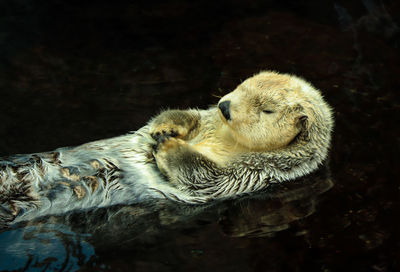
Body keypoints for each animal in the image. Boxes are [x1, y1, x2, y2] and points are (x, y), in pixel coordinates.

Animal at [0, 70, 332, 225]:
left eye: (267, 110)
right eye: (242, 85)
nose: (225, 106)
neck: (228, 138)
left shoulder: (255, 172)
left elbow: (204, 176)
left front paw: (168, 144)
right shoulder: (206, 118)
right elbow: (187, 116)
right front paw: (164, 129)